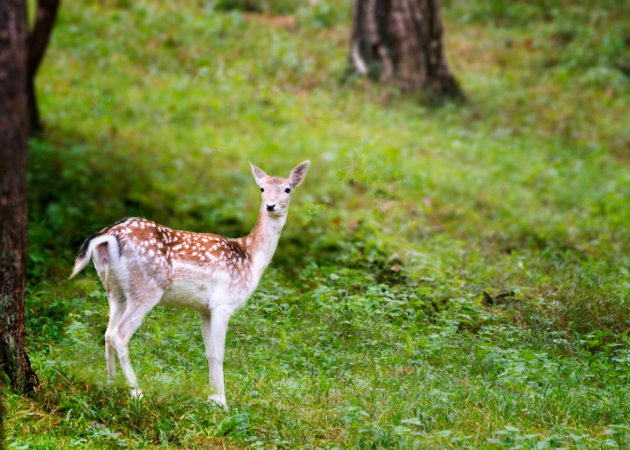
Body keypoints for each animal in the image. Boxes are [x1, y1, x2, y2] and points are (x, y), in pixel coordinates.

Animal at [69, 161, 312, 408]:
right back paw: (137, 392)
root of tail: (108, 236)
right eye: (262, 189)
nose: (271, 205)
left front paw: (212, 399)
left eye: (287, 189)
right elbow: (220, 353)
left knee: (108, 332)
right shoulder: (223, 303)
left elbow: (210, 353)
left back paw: (111, 384)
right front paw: (223, 404)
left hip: (114, 289)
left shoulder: (204, 308)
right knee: (119, 334)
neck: (250, 258)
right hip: (145, 289)